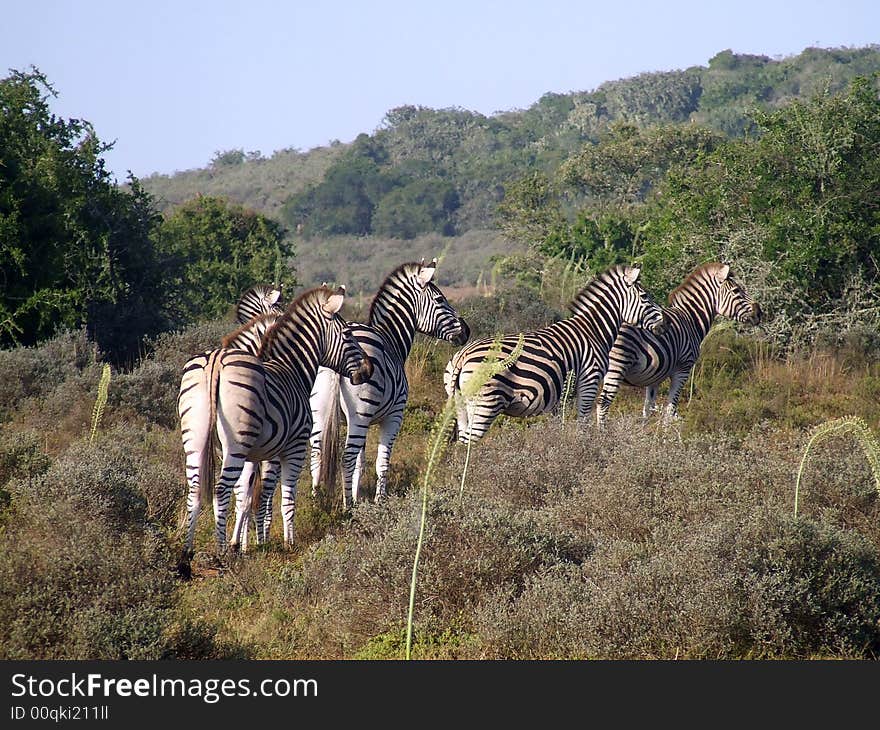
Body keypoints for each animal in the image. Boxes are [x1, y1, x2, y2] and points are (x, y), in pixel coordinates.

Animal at [179, 282, 372, 556]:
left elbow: (248, 496)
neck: (292, 368)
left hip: (195, 440)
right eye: (347, 334)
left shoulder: (257, 454)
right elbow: (284, 498)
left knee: (195, 490)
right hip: (236, 444)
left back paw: (187, 552)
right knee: (221, 490)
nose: (368, 370)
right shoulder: (293, 447)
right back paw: (221, 552)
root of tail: (215, 360)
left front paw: (245, 542)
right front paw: (284, 543)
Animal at [312, 258, 470, 504]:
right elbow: (381, 462)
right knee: (346, 458)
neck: (391, 341)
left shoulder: (362, 422)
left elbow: (361, 464)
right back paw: (347, 508)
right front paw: (379, 502)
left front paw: (358, 497)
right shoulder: (394, 416)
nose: (466, 331)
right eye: (440, 299)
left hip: (320, 412)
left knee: (316, 456)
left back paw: (316, 502)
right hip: (359, 413)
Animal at [446, 264, 668, 440]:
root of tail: (463, 355)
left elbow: (558, 426)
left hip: (460, 403)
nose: (664, 322)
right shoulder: (590, 380)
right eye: (645, 297)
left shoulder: (558, 395)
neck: (594, 330)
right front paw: (583, 449)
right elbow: (583, 423)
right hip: (485, 403)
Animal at [592, 262, 764, 424]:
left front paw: (645, 433)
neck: (691, 319)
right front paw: (667, 433)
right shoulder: (683, 369)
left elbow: (648, 408)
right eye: (736, 291)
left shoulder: (654, 377)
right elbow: (671, 408)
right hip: (617, 365)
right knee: (603, 403)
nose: (759, 313)